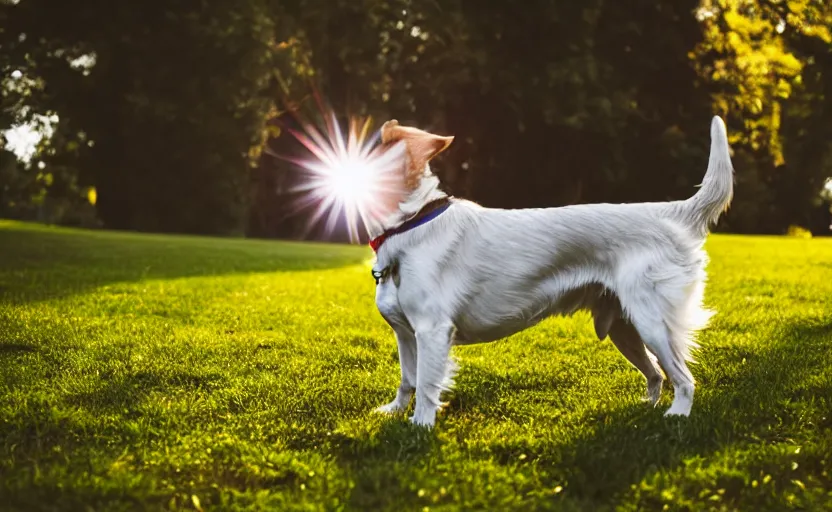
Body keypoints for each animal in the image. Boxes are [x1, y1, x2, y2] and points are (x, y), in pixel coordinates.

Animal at [370, 116, 736, 428]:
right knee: (657, 374)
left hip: (653, 324)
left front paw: (420, 426)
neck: (410, 224)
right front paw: (394, 411)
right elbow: (407, 379)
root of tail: (668, 212)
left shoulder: (432, 330)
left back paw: (677, 416)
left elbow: (426, 385)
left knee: (685, 379)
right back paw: (646, 410)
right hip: (625, 328)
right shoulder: (405, 333)